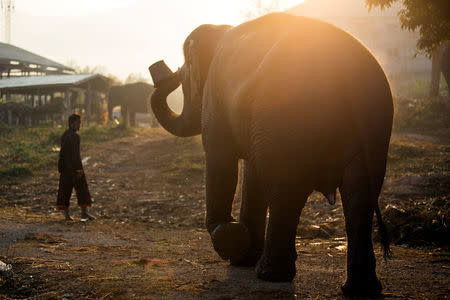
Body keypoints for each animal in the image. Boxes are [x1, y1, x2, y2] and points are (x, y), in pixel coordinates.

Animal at [149, 12, 392, 296]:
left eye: (185, 73)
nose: (163, 71)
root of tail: (347, 67)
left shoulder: (216, 98)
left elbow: (222, 160)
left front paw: (231, 240)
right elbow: (252, 173)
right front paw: (242, 258)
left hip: (286, 118)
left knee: (286, 188)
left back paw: (270, 275)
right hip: (375, 127)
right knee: (360, 196)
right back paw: (359, 289)